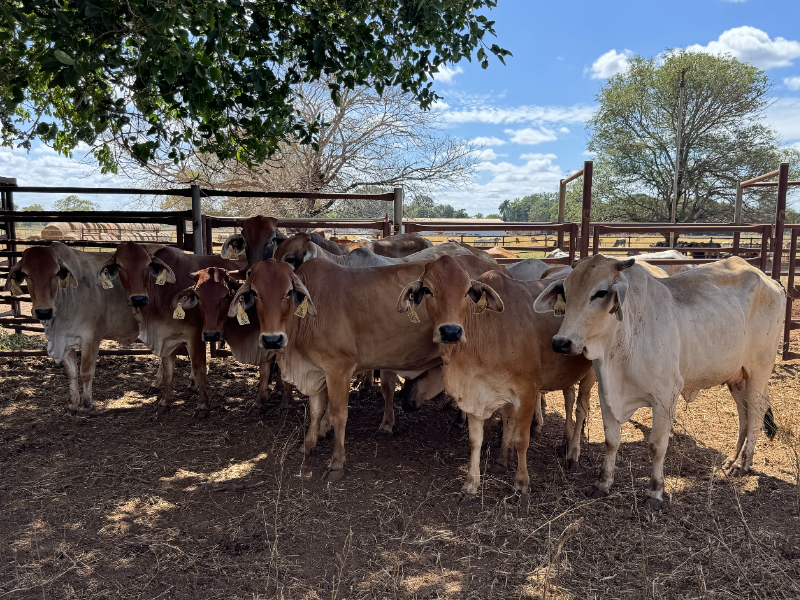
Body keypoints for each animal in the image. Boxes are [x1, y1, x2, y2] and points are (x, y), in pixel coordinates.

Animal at [396, 255, 592, 504]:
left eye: (466, 291)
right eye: (427, 290)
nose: (451, 332)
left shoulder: (526, 391)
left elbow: (521, 439)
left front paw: (522, 484)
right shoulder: (477, 395)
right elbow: (476, 439)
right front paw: (471, 485)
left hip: (591, 370)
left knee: (581, 408)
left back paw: (573, 453)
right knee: (569, 398)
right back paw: (565, 440)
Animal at [536, 255, 784, 508]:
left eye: (600, 292)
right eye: (565, 293)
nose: (561, 343)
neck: (626, 336)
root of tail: (769, 280)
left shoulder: (666, 395)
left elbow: (657, 446)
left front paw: (655, 492)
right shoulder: (607, 392)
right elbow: (611, 440)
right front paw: (603, 484)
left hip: (758, 372)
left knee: (757, 412)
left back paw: (743, 463)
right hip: (736, 377)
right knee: (744, 415)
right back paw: (732, 459)